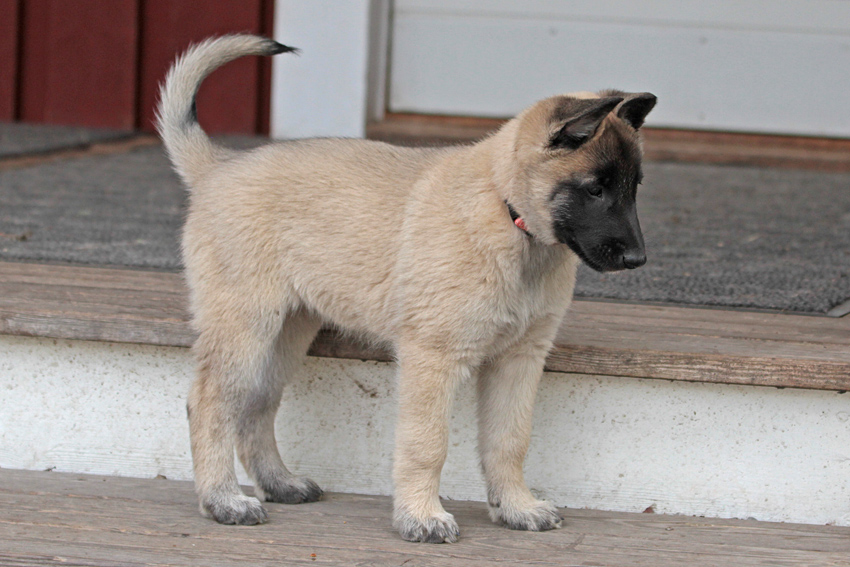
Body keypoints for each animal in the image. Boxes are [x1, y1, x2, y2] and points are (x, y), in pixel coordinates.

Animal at [156, 33, 652, 544]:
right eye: (595, 189)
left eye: (633, 187)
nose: (638, 260)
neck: (506, 211)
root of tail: (218, 167)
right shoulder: (432, 357)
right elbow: (427, 444)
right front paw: (421, 515)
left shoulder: (519, 360)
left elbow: (510, 440)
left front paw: (517, 506)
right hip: (246, 325)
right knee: (209, 403)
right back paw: (223, 500)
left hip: (287, 333)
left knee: (255, 405)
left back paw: (279, 483)